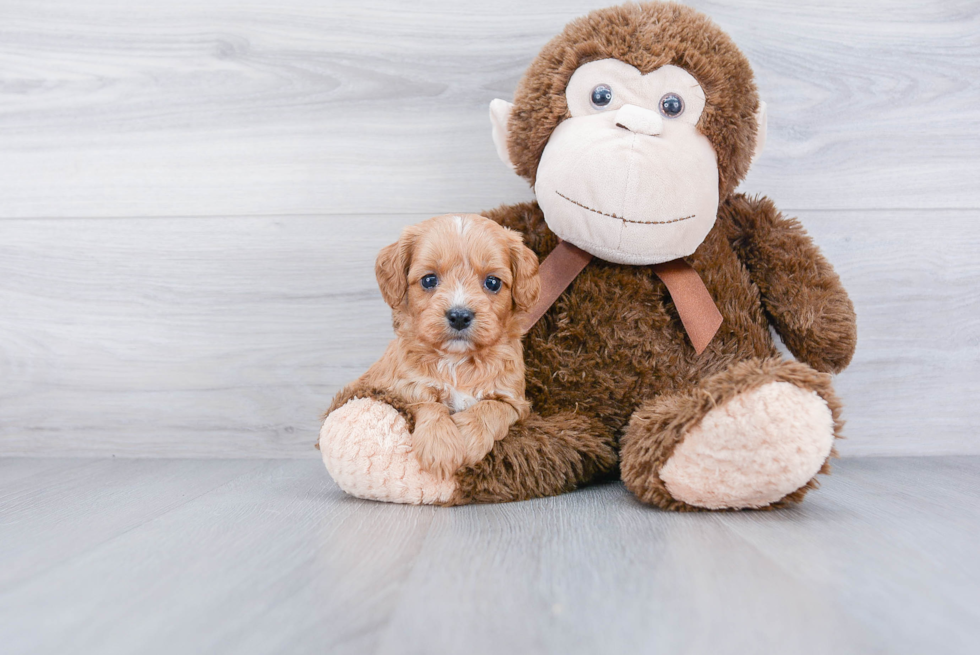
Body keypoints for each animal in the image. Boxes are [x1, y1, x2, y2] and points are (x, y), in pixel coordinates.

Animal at [330, 217, 544, 482]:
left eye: (492, 282)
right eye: (429, 280)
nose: (459, 316)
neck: (457, 360)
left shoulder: (514, 400)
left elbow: (492, 407)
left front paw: (467, 437)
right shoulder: (400, 387)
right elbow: (427, 403)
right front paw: (440, 447)